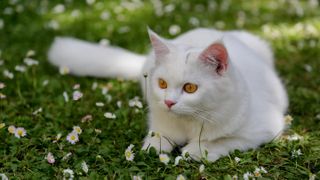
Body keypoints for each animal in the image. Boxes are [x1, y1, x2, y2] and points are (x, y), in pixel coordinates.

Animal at [48, 27, 288, 162]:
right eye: (162, 84)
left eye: (190, 88)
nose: (169, 102)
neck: (189, 122)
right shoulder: (159, 121)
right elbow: (158, 136)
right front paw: (154, 148)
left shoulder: (263, 128)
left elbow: (220, 140)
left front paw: (193, 151)